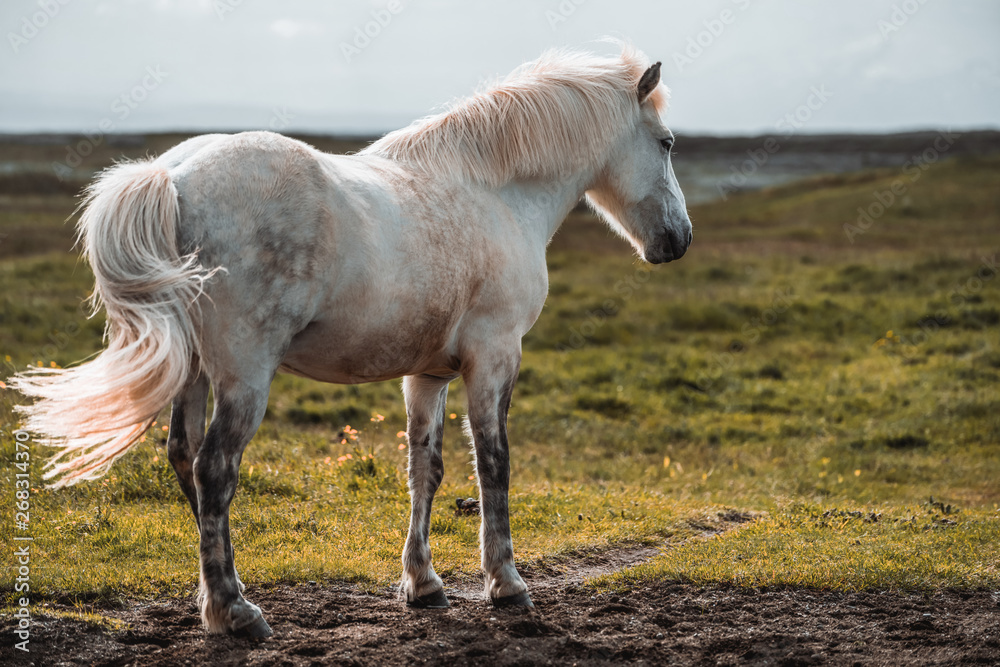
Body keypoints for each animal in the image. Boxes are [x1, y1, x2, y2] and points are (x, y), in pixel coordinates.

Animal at [11, 44, 692, 640]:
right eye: (665, 143)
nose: (678, 240)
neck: (495, 193)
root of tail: (172, 176)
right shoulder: (495, 356)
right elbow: (493, 464)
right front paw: (506, 582)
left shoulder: (427, 375)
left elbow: (426, 470)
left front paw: (423, 584)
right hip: (244, 375)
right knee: (214, 469)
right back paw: (236, 613)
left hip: (197, 371)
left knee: (184, 458)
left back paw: (219, 598)